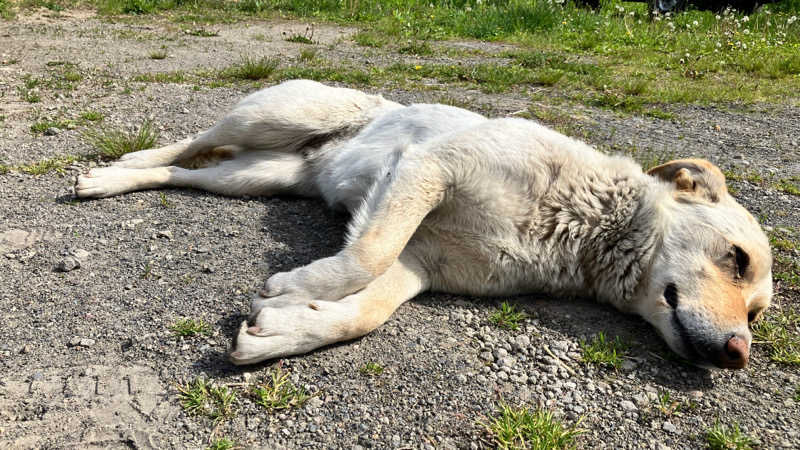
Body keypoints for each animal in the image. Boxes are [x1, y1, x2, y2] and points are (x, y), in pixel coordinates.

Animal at [73, 80, 768, 370]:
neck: (581, 223)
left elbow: (364, 312)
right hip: (270, 118)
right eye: (737, 259)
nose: (738, 356)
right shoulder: (428, 170)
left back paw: (117, 179)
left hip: (260, 176)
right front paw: (291, 289)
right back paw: (117, 165)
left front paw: (280, 330)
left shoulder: (422, 264)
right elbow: (365, 256)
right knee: (192, 141)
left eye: (757, 316)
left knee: (187, 172)